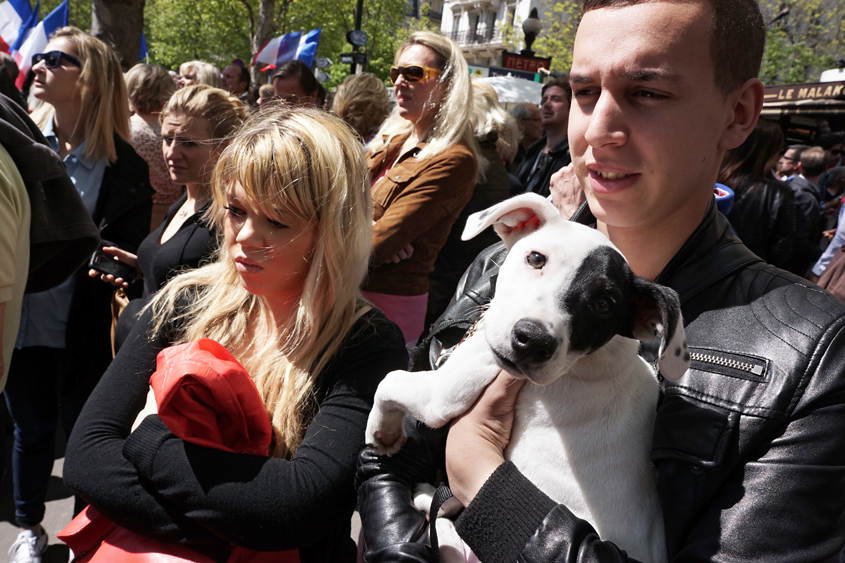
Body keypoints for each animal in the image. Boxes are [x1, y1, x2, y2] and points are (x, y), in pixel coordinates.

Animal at [366, 193, 688, 560]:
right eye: (535, 258)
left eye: (604, 304)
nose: (532, 340)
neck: (588, 360)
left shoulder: (445, 393)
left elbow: (389, 380)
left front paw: (383, 432)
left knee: (445, 524)